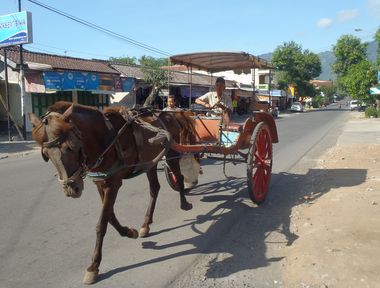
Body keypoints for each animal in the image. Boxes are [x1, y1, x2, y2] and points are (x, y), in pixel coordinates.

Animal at [27, 100, 196, 284]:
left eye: (71, 147)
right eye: (46, 154)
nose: (72, 188)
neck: (105, 138)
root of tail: (170, 114)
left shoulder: (114, 183)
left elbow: (102, 223)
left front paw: (94, 266)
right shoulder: (101, 182)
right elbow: (110, 216)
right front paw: (128, 232)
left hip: (172, 152)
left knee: (179, 177)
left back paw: (184, 203)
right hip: (150, 161)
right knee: (154, 188)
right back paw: (146, 224)